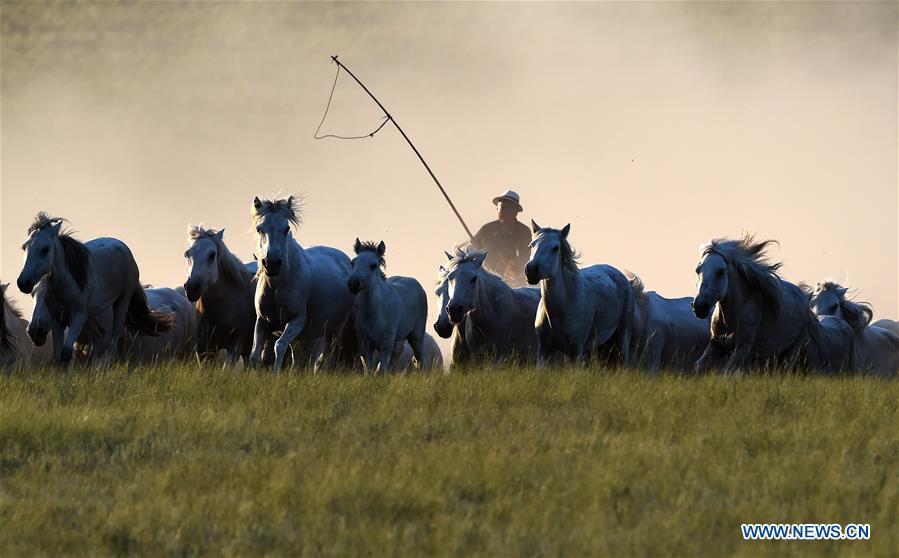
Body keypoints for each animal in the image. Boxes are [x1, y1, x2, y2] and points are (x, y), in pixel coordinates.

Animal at [16, 213, 172, 365]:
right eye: (24, 247)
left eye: (45, 249)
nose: (23, 283)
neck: (67, 285)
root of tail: (122, 246)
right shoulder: (57, 319)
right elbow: (57, 357)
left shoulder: (78, 316)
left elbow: (66, 353)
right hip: (92, 315)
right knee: (98, 338)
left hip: (121, 304)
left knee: (112, 342)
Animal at [250, 196, 354, 373]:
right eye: (259, 228)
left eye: (286, 229)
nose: (272, 264)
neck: (277, 287)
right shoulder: (263, 321)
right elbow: (255, 354)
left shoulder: (297, 320)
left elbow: (279, 346)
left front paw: (275, 374)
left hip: (334, 330)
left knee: (323, 358)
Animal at [347, 239, 428, 373]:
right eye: (353, 263)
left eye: (373, 265)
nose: (353, 284)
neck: (372, 313)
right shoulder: (366, 345)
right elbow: (369, 370)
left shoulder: (386, 345)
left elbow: (381, 371)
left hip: (416, 336)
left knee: (421, 360)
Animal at [525, 222, 633, 365]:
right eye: (531, 244)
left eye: (555, 248)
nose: (531, 270)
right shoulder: (544, 350)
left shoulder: (576, 351)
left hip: (622, 337)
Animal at [691, 235, 818, 374]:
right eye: (697, 270)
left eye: (720, 271)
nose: (699, 307)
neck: (730, 320)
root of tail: (804, 297)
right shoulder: (716, 344)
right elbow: (699, 365)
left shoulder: (742, 349)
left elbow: (726, 372)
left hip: (792, 350)